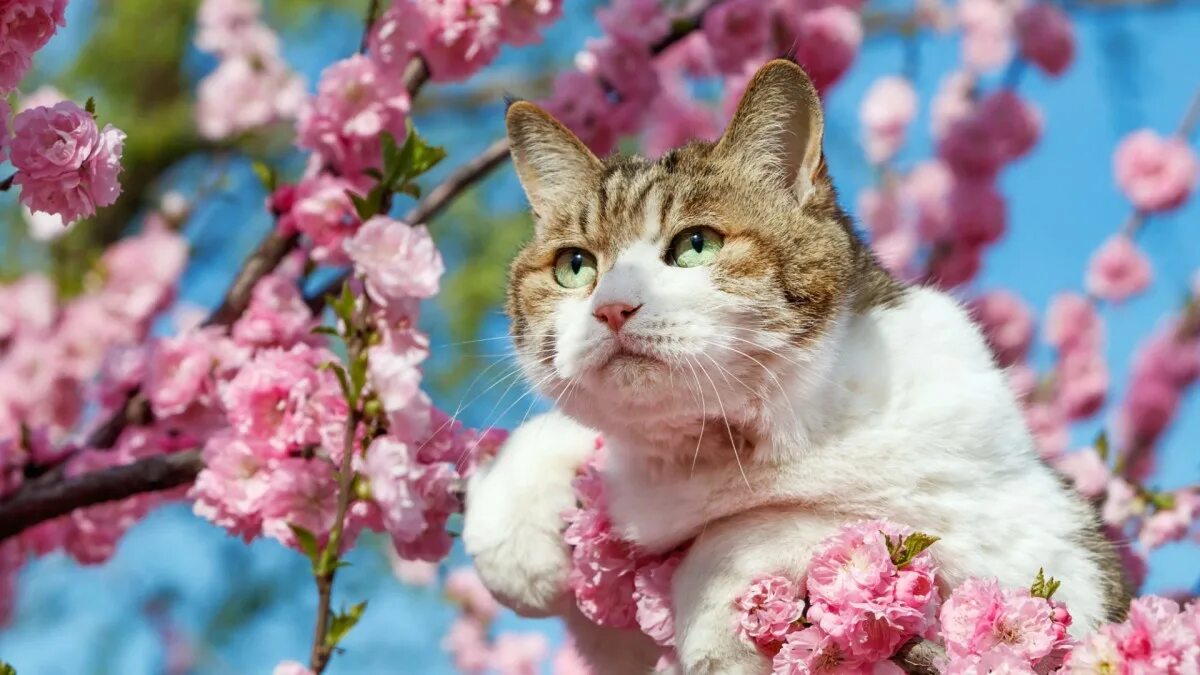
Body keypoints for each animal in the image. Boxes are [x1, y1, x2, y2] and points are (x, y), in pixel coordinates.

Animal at [458, 59, 1123, 672]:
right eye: (575, 266)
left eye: (695, 246)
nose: (612, 307)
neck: (718, 451)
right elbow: (562, 435)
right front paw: (512, 539)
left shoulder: (1035, 555)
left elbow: (797, 518)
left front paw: (714, 618)